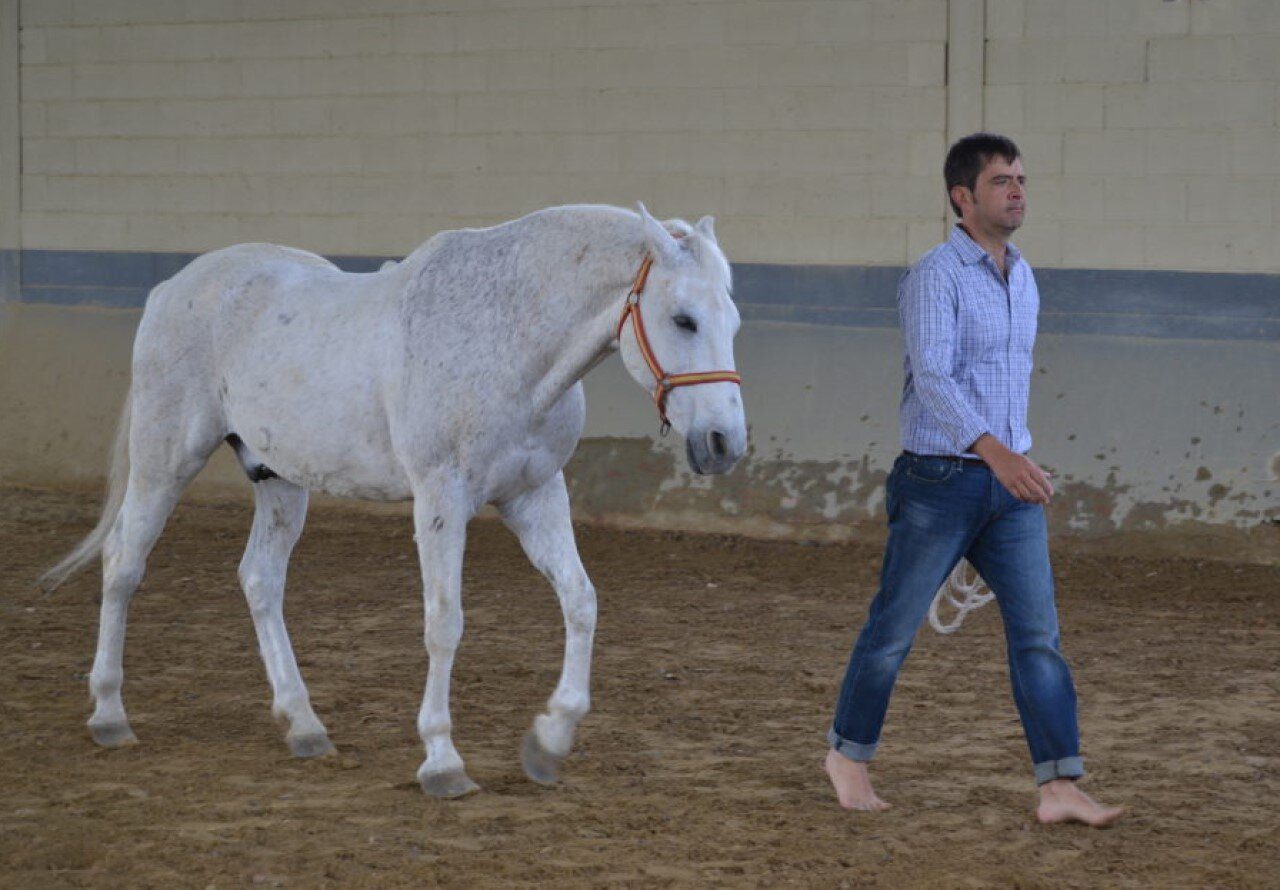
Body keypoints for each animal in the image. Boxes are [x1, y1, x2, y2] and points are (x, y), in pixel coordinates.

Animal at [40, 203, 747, 799]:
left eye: (733, 321)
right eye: (683, 319)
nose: (724, 443)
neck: (506, 335)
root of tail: (172, 289)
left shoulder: (534, 494)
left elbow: (581, 601)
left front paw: (549, 740)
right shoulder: (441, 496)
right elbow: (444, 622)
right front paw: (442, 760)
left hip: (279, 476)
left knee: (260, 579)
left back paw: (304, 724)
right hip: (166, 458)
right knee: (124, 563)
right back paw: (110, 715)